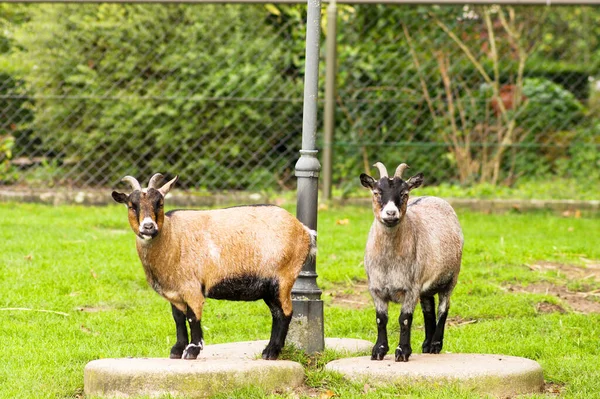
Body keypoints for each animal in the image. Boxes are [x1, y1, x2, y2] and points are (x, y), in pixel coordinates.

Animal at [360, 162, 464, 362]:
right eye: (376, 192)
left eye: (404, 193)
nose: (391, 213)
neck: (389, 262)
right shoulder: (376, 288)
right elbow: (380, 319)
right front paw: (378, 350)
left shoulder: (411, 288)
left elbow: (405, 319)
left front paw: (402, 352)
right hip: (427, 286)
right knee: (428, 309)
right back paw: (426, 345)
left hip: (451, 278)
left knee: (443, 308)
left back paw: (435, 344)